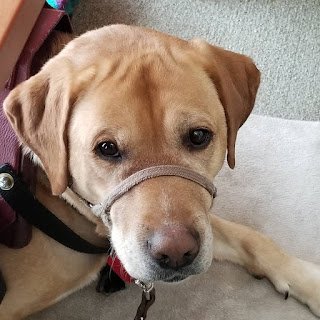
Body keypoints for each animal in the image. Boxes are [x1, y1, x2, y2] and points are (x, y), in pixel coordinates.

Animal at [0, 24, 320, 318]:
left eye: (198, 136)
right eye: (107, 148)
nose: (177, 253)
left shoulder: (200, 218)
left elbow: (250, 236)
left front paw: (307, 281)